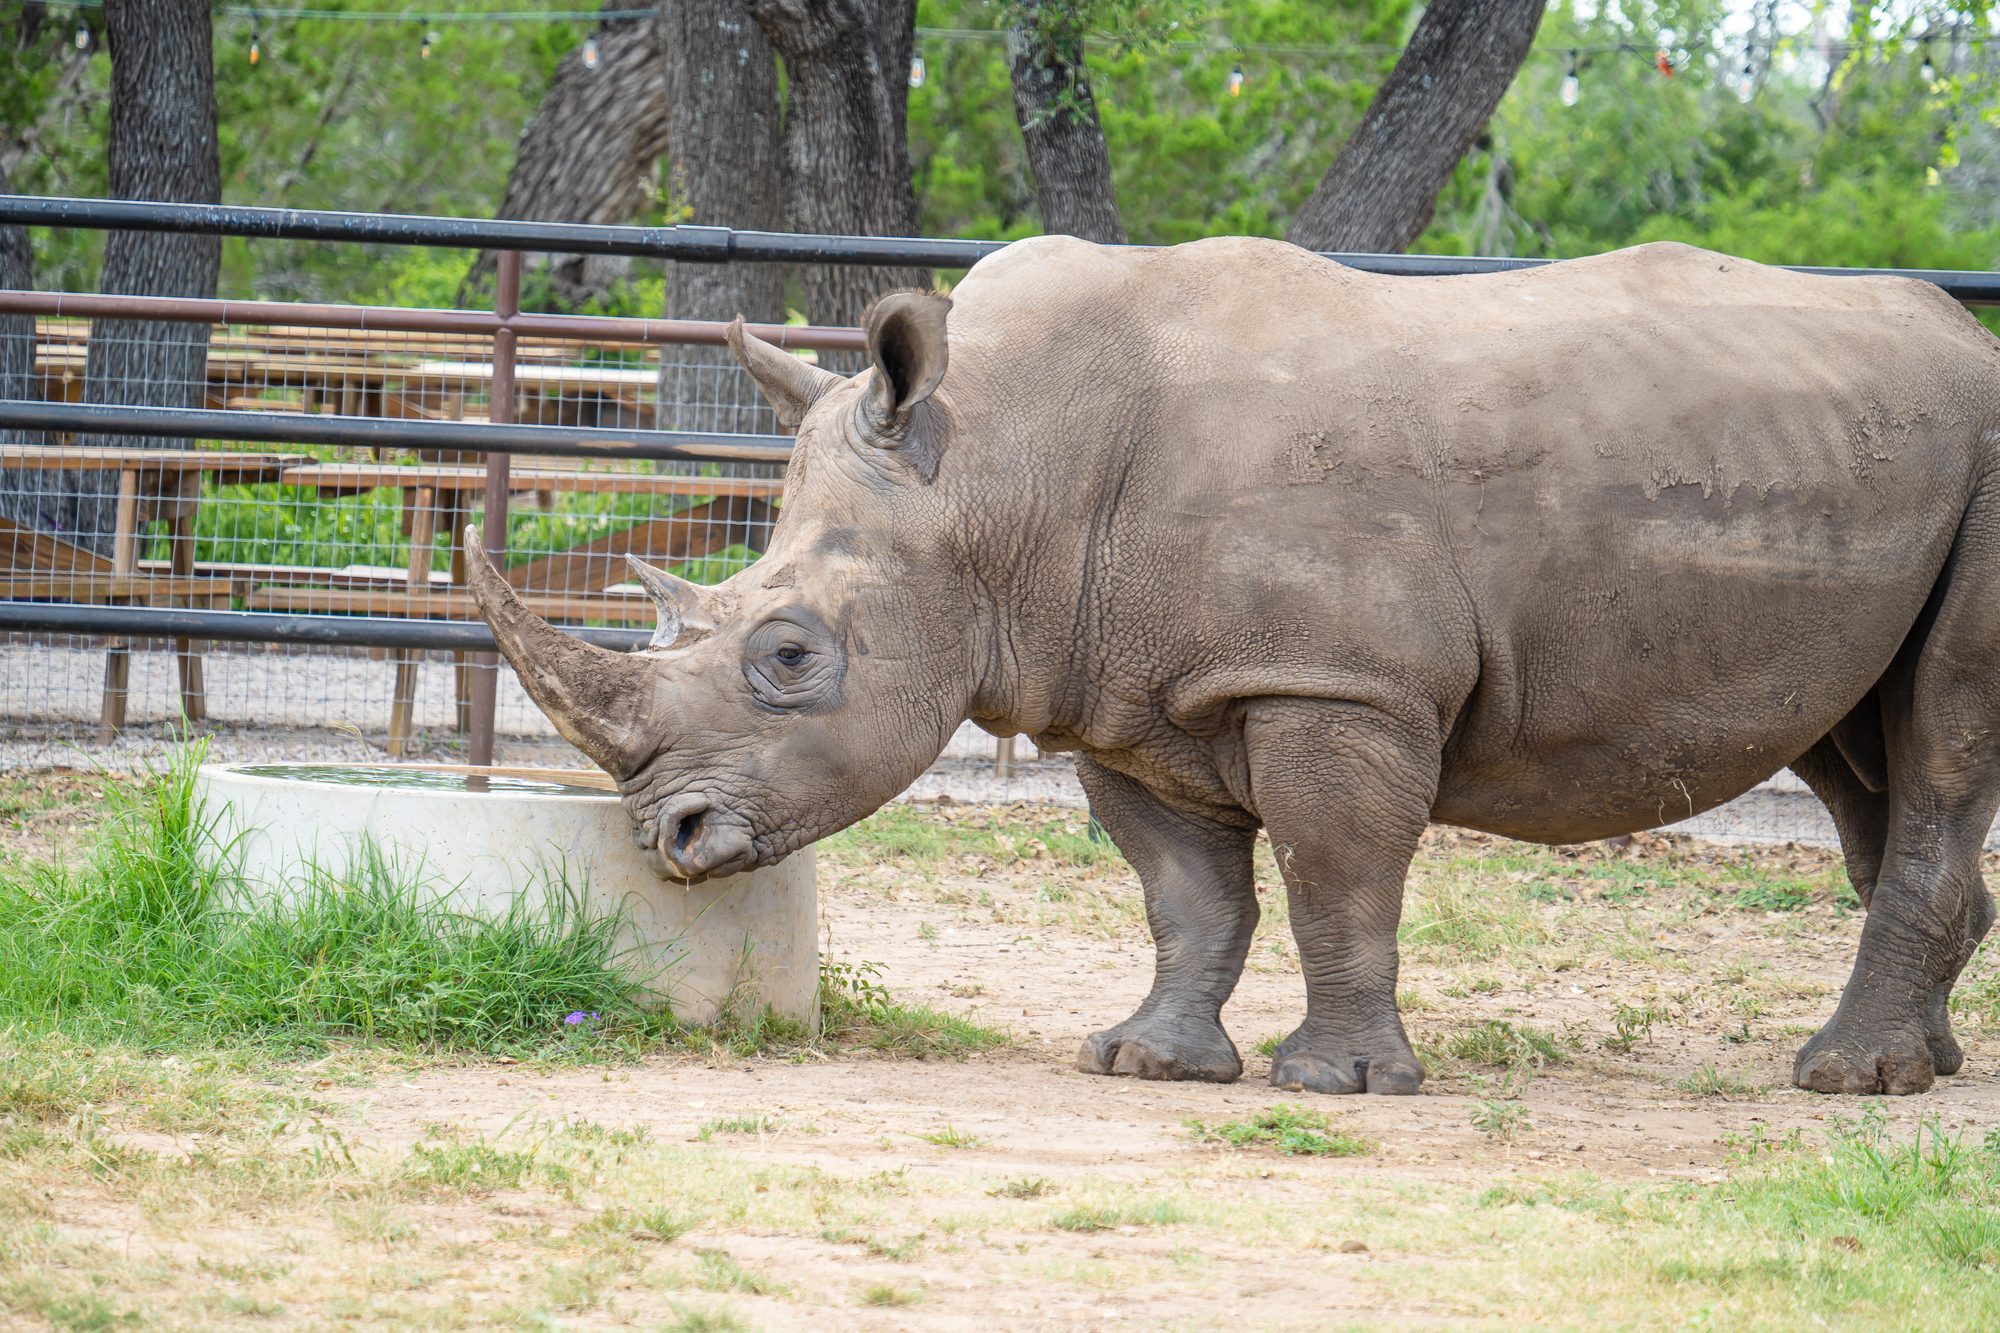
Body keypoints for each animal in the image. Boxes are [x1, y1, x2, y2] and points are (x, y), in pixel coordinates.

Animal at [468, 236, 2000, 1098]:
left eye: (788, 656)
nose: (668, 837)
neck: (998, 469)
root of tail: (1970, 337)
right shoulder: (1124, 693)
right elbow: (1185, 895)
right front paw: (1147, 1061)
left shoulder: (1332, 683)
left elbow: (1333, 879)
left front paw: (1339, 1084)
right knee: (1854, 745)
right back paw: (1913, 1069)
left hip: (1981, 457)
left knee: (1940, 730)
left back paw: (1844, 1082)